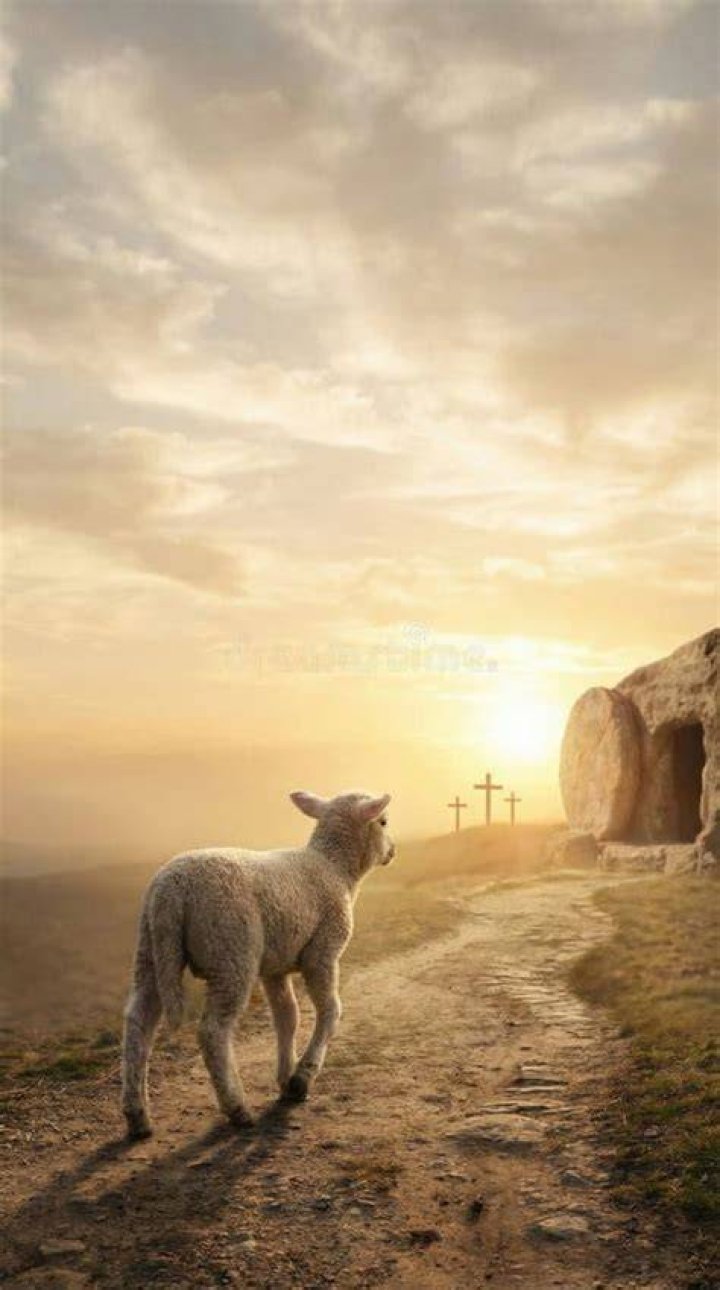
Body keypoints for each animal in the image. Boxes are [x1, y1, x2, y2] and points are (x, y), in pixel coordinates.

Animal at [121, 789, 394, 1139]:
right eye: (383, 821)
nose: (393, 852)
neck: (334, 867)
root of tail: (171, 892)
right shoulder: (323, 952)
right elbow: (331, 1011)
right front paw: (302, 1076)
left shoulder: (276, 966)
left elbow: (287, 1016)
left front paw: (286, 1079)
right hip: (231, 951)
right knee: (212, 1031)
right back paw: (237, 1108)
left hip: (151, 950)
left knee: (138, 1021)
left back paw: (137, 1115)